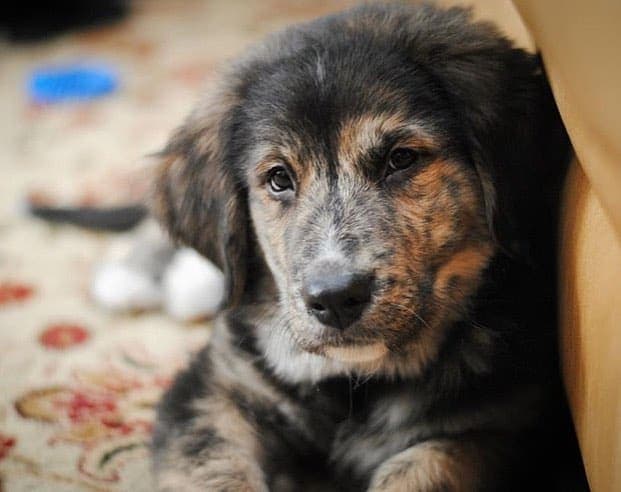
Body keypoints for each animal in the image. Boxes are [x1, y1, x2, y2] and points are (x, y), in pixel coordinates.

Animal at [149, 3, 576, 492]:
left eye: (401, 158)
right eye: (278, 178)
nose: (335, 299)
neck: (360, 385)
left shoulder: (507, 425)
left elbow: (422, 466)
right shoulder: (212, 392)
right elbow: (212, 468)